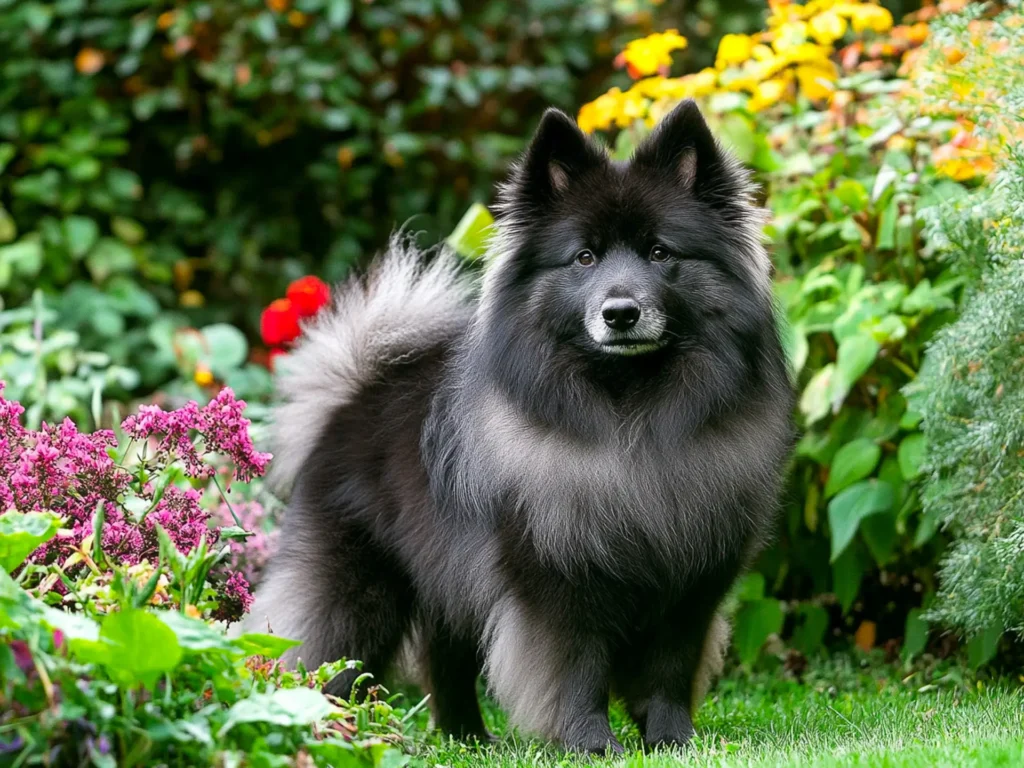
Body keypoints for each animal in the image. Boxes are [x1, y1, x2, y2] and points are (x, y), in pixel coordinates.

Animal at [245, 99, 790, 753]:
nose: (620, 312)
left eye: (661, 253)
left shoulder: (691, 586)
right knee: (328, 655)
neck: (629, 414)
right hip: (358, 591)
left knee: (445, 661)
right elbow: (575, 671)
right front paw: (590, 744)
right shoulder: (559, 582)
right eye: (584, 257)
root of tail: (352, 395)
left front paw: (672, 742)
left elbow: (667, 672)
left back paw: (465, 738)